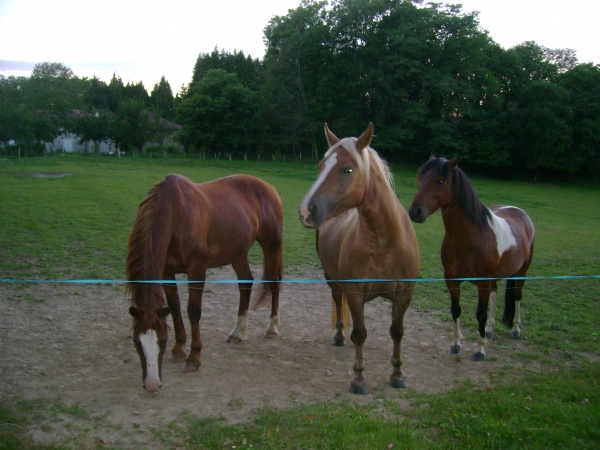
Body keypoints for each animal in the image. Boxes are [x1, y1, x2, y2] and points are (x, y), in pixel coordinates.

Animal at [126, 174, 284, 392]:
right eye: (136, 342)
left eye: (162, 341)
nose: (151, 384)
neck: (176, 212)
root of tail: (268, 187)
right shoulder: (167, 271)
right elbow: (174, 308)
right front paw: (179, 349)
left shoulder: (197, 270)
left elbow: (193, 311)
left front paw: (194, 358)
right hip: (238, 252)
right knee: (245, 284)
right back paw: (237, 332)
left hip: (271, 245)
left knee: (274, 284)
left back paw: (272, 329)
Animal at [298, 123, 420, 394]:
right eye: (320, 166)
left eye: (348, 169)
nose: (306, 210)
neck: (385, 244)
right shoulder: (355, 294)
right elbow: (360, 334)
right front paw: (359, 379)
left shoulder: (404, 294)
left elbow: (397, 332)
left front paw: (398, 374)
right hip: (332, 278)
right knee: (337, 299)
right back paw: (339, 337)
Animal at [408, 156, 536, 360]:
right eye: (422, 179)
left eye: (441, 180)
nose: (415, 212)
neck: (472, 237)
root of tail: (520, 212)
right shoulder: (452, 280)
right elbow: (456, 310)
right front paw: (455, 344)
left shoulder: (482, 283)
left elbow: (480, 314)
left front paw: (479, 350)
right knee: (495, 294)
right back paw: (490, 330)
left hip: (521, 271)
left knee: (517, 295)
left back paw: (516, 329)